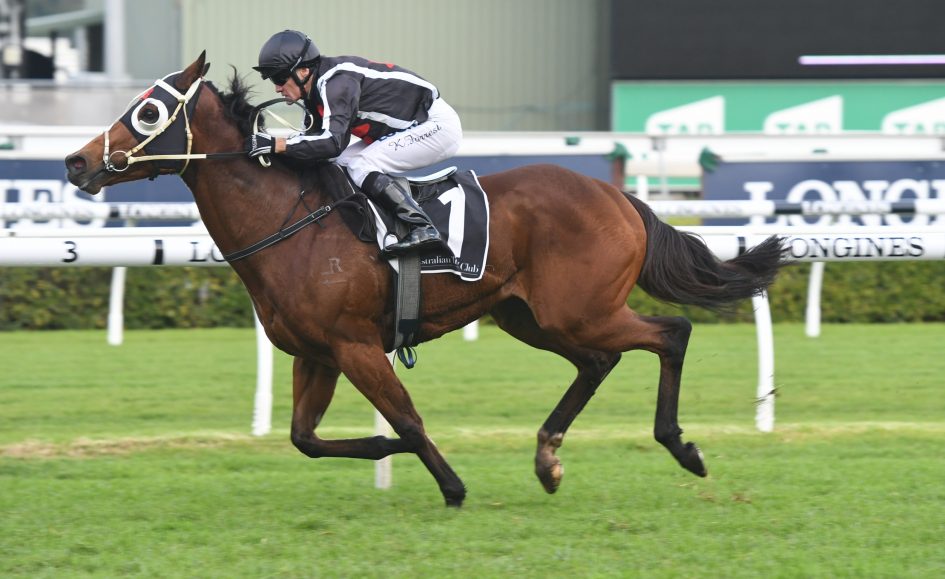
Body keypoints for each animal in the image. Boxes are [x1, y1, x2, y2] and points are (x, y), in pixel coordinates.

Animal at [64, 53, 786, 507]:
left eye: (149, 112)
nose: (76, 162)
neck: (292, 221)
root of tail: (621, 197)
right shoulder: (315, 353)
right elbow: (305, 438)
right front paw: (383, 447)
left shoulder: (355, 345)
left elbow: (408, 420)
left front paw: (450, 485)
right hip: (530, 316)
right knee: (598, 361)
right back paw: (547, 457)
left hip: (578, 309)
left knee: (670, 332)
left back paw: (680, 448)